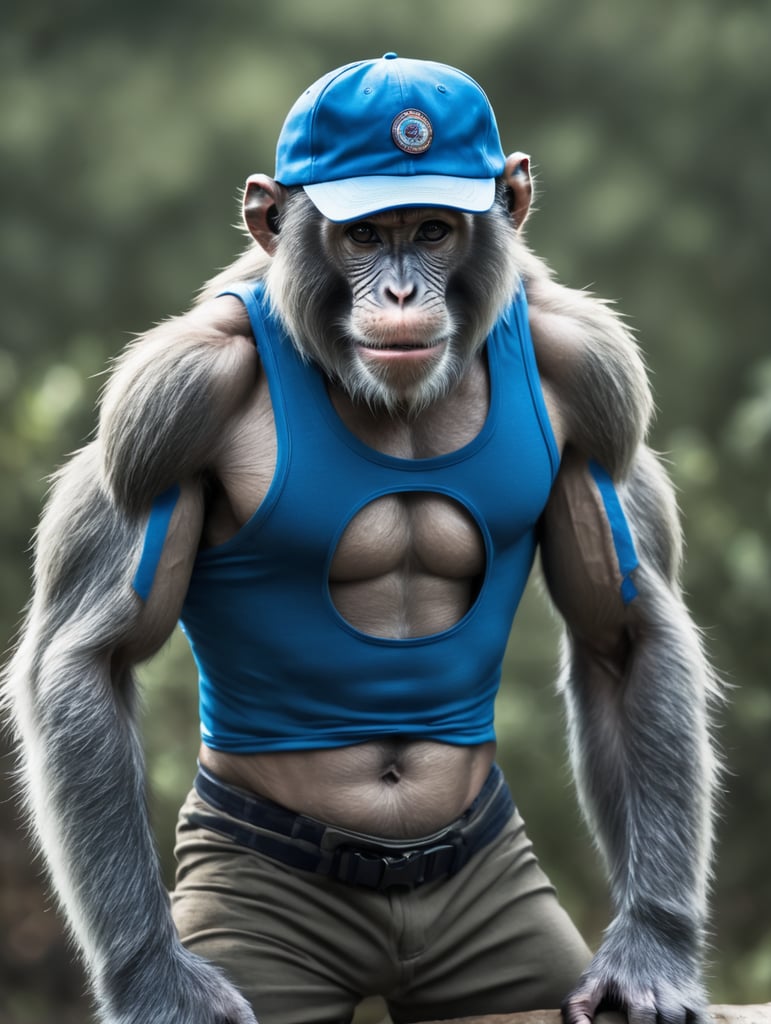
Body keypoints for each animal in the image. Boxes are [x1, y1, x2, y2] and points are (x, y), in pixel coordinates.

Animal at [3, 55, 719, 1024]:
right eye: (365, 237)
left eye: (432, 231)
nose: (401, 291)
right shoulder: (161, 407)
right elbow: (88, 656)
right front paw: (154, 980)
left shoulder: (598, 378)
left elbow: (624, 631)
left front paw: (651, 951)